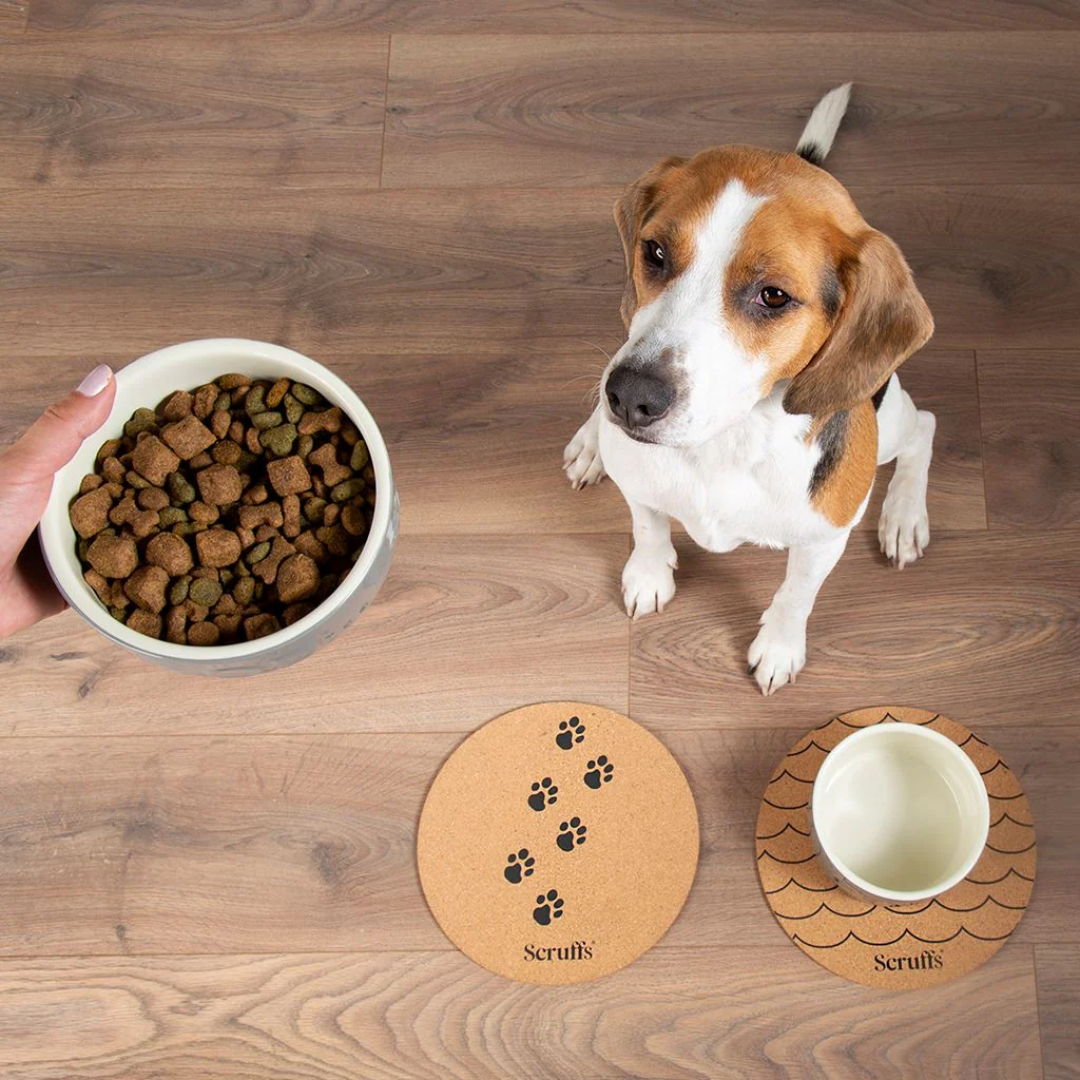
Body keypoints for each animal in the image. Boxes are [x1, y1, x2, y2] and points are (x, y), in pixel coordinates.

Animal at [565, 82, 937, 691]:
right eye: (655, 252)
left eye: (773, 296)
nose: (630, 396)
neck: (725, 442)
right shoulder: (639, 483)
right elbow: (648, 526)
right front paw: (649, 573)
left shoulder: (823, 539)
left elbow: (795, 595)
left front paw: (780, 647)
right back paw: (591, 441)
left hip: (889, 425)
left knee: (925, 428)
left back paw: (904, 517)